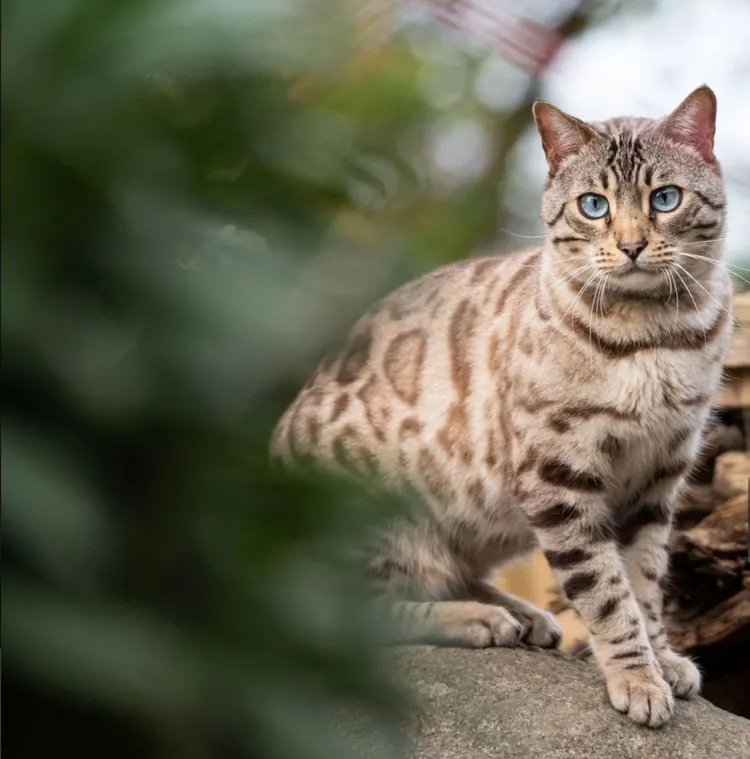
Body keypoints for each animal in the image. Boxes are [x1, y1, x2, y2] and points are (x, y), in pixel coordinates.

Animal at [272, 87, 736, 732]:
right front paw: (638, 678)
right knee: (354, 619)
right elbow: (606, 592)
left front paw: (663, 658)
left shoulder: (657, 479)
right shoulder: (559, 475)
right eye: (594, 205)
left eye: (664, 198)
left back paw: (521, 615)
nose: (631, 246)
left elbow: (644, 581)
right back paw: (480, 619)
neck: (654, 337)